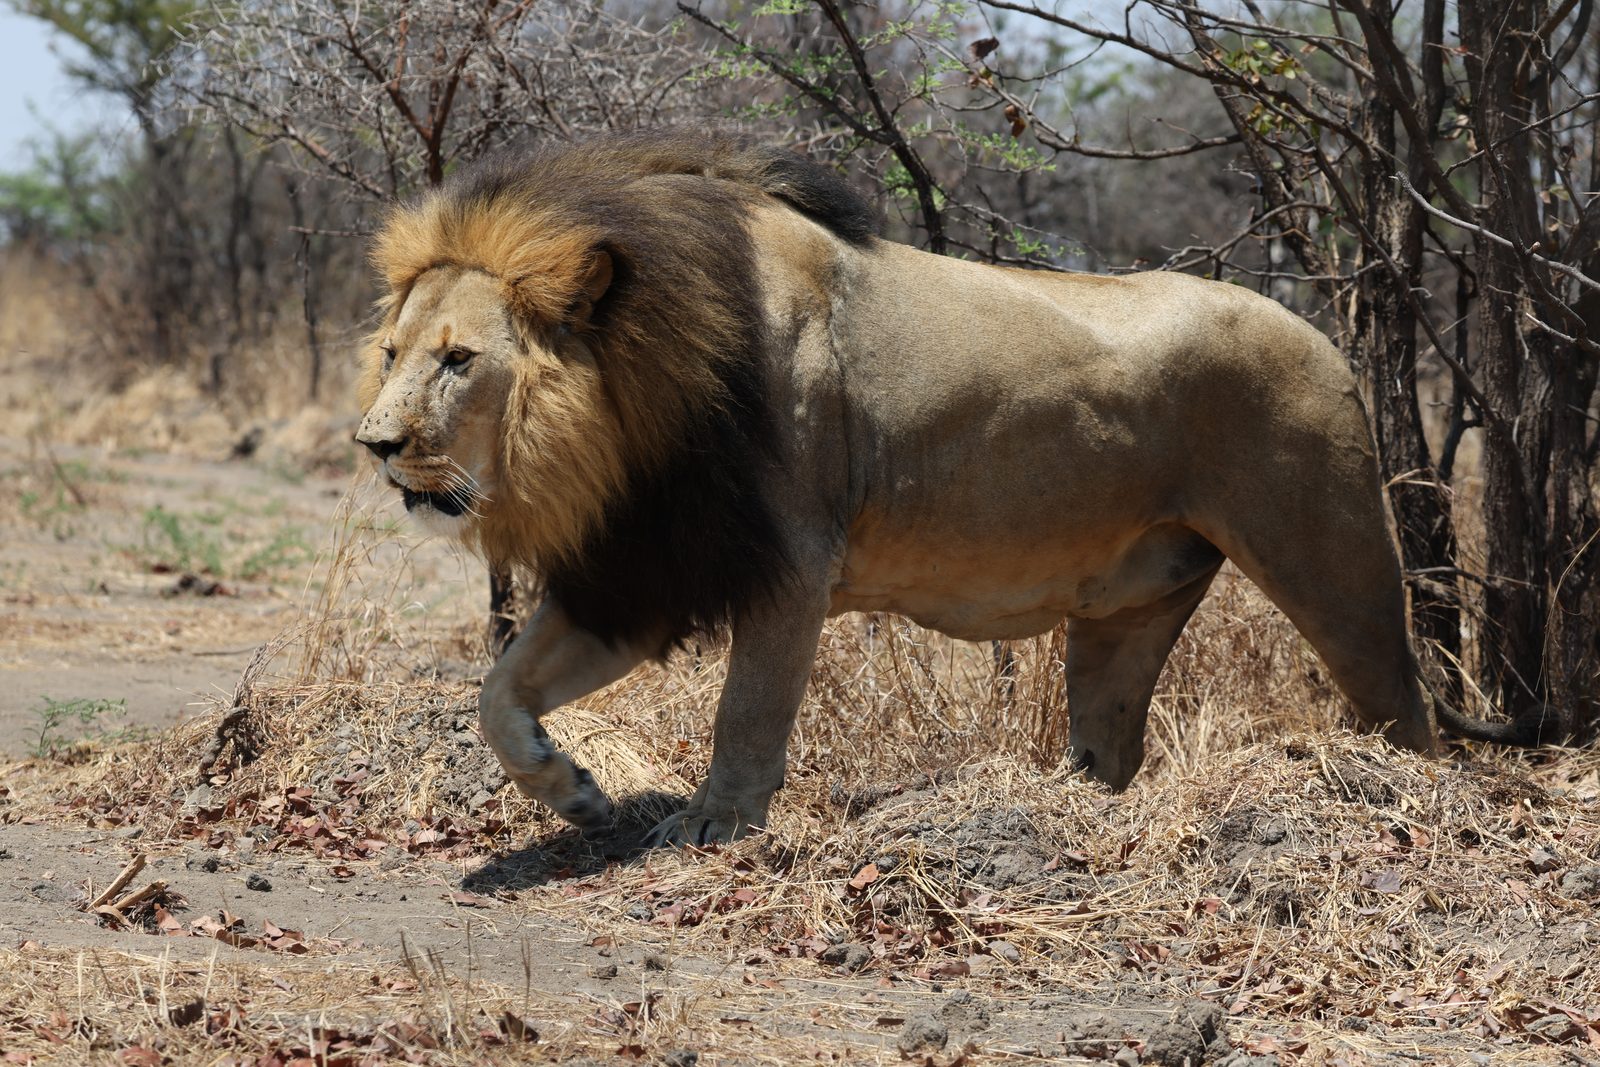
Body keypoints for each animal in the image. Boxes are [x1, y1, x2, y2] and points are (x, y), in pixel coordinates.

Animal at [356, 131, 1515, 846]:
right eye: (393, 351)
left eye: (460, 361)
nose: (375, 442)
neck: (636, 402)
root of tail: (1327, 337)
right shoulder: (643, 565)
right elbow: (498, 693)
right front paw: (578, 796)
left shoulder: (787, 561)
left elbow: (747, 710)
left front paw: (715, 825)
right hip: (1127, 607)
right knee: (1113, 737)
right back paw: (1065, 809)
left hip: (1331, 552)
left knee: (1403, 703)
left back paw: (1403, 809)